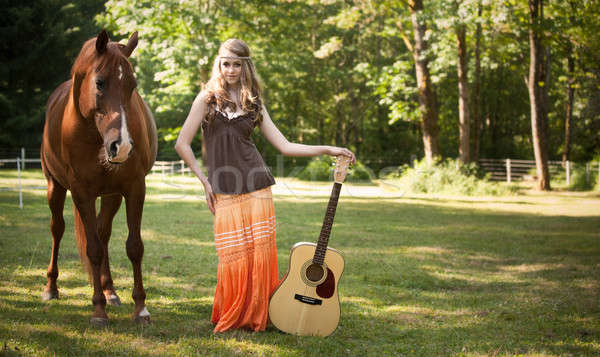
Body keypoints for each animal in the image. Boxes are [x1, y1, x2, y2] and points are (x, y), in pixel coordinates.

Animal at [40, 30, 157, 326]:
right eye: (100, 83)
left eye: (132, 85)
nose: (122, 146)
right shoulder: (82, 193)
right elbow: (92, 248)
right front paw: (98, 311)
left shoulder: (134, 188)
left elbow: (134, 246)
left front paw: (140, 308)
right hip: (55, 187)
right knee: (58, 229)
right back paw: (51, 288)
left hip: (112, 195)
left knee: (104, 234)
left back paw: (110, 290)